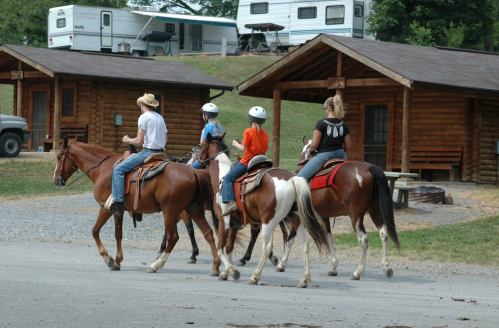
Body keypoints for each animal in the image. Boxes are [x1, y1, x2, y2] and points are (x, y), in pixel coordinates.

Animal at [52, 137, 221, 276]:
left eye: (59, 157)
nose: (56, 181)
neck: (102, 169)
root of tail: (194, 172)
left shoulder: (105, 208)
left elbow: (95, 231)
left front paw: (108, 258)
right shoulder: (118, 211)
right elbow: (118, 234)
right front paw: (117, 261)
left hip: (171, 211)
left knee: (173, 237)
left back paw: (156, 265)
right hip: (194, 209)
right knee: (208, 233)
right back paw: (216, 267)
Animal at [197, 134, 330, 288]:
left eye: (201, 145)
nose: (197, 159)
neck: (222, 177)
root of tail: (293, 179)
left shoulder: (224, 220)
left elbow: (220, 249)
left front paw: (232, 271)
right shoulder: (234, 224)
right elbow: (229, 247)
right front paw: (225, 273)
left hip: (268, 221)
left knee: (267, 247)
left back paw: (255, 276)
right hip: (297, 219)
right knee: (305, 244)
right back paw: (304, 279)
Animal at [276, 136, 400, 280]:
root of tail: (370, 168)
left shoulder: (301, 215)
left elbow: (290, 239)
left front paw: (281, 264)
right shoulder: (324, 216)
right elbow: (329, 238)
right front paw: (334, 268)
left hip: (356, 215)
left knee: (363, 239)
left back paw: (358, 272)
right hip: (375, 210)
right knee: (384, 233)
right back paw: (387, 267)